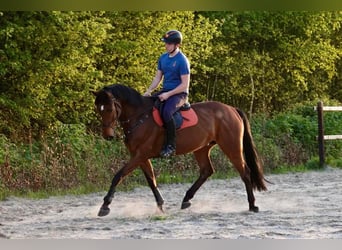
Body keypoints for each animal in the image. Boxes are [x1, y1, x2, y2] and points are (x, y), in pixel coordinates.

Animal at [93, 83, 268, 217]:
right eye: (98, 110)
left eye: (109, 109)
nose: (107, 135)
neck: (139, 116)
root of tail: (231, 109)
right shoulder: (141, 157)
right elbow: (151, 181)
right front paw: (160, 206)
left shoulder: (140, 155)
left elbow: (118, 176)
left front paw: (105, 206)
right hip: (202, 148)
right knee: (207, 171)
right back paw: (186, 199)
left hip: (231, 146)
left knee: (245, 172)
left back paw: (252, 206)